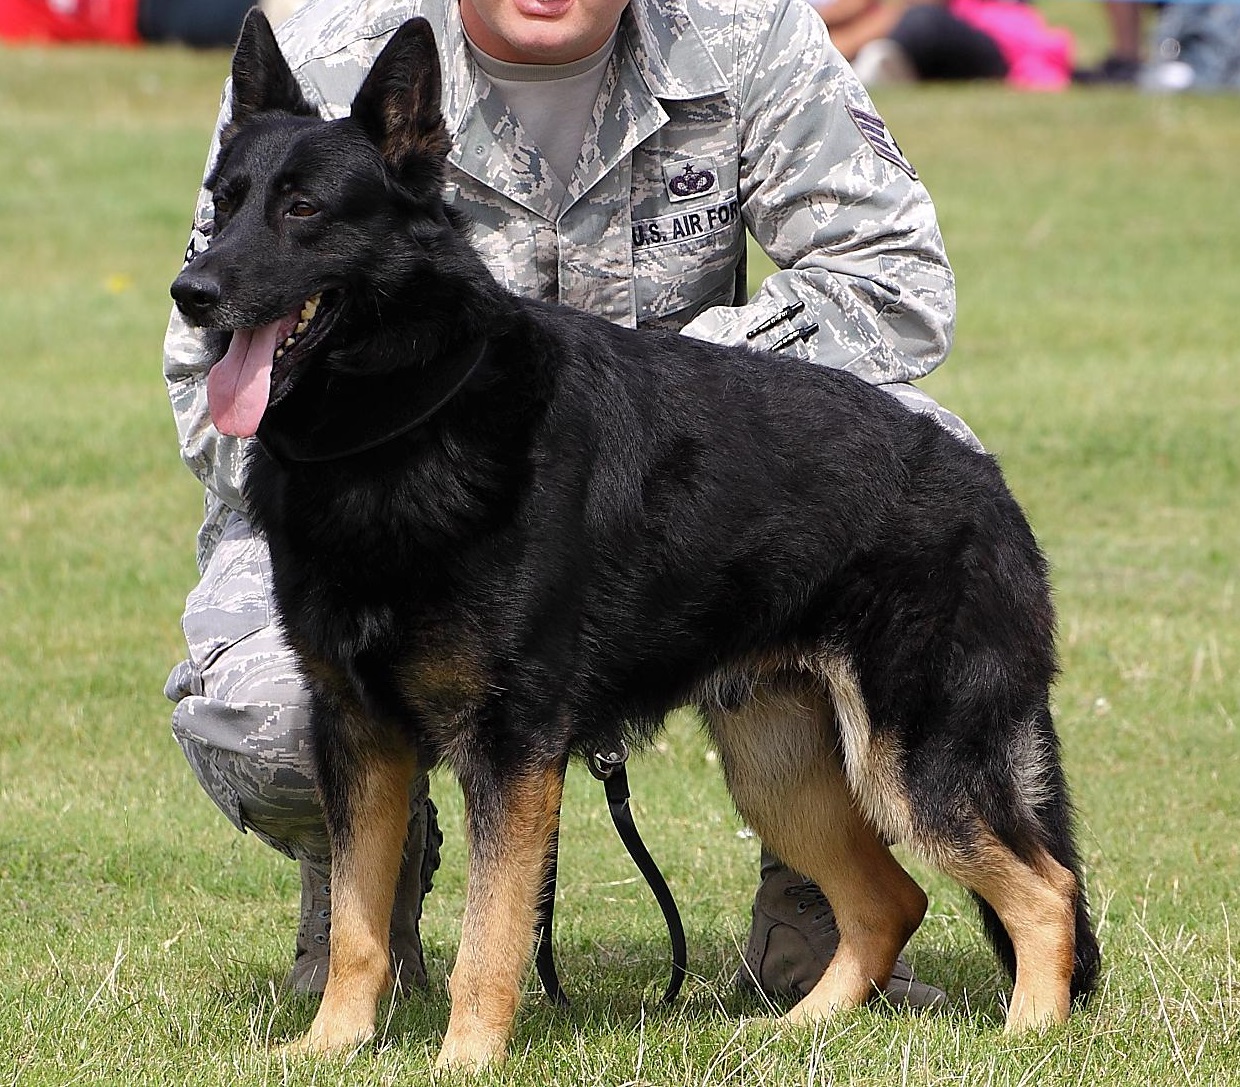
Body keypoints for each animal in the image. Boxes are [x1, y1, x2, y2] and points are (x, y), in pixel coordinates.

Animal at [169, 10, 1101, 1070]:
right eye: (223, 205)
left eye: (304, 210)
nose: (191, 291)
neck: (407, 418)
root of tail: (985, 483)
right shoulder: (358, 734)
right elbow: (362, 925)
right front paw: (330, 1047)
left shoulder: (511, 750)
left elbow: (489, 934)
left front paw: (465, 1062)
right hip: (782, 770)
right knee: (891, 898)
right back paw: (800, 1028)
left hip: (916, 765)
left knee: (1044, 889)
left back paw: (1029, 1036)